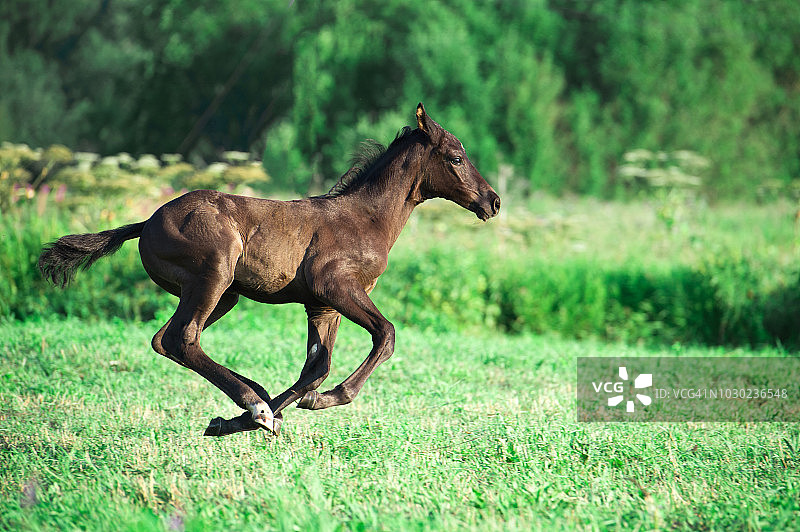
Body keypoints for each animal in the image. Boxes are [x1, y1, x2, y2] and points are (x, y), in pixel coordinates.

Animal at [40, 104, 500, 436]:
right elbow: (383, 336)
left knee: (165, 339)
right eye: (456, 157)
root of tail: (147, 222)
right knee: (184, 337)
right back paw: (254, 402)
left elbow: (315, 367)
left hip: (219, 294)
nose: (493, 201)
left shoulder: (322, 307)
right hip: (215, 273)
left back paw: (254, 402)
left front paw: (234, 422)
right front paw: (310, 403)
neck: (365, 219)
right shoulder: (336, 286)